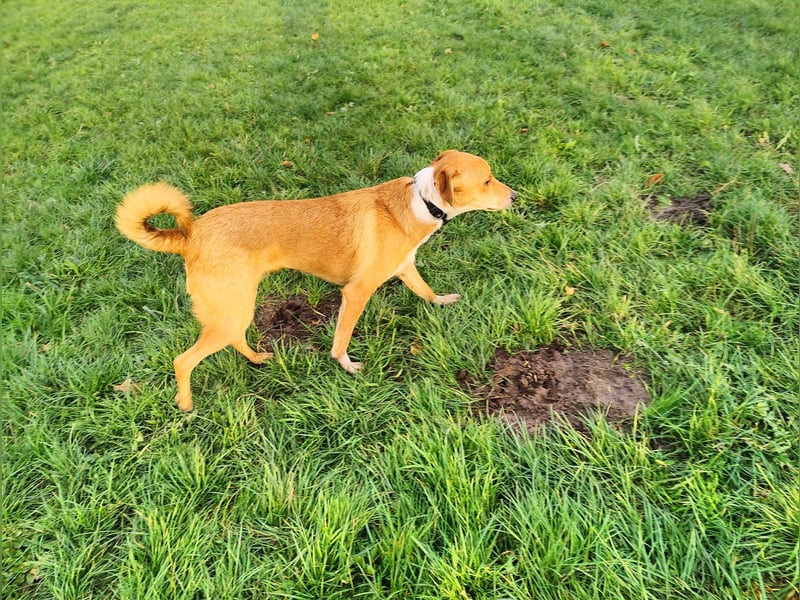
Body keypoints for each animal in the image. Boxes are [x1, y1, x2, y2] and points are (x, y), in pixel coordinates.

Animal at [116, 150, 516, 410]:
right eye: (486, 180)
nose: (514, 196)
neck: (422, 201)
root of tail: (190, 236)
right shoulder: (356, 292)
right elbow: (341, 340)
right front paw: (347, 366)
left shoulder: (405, 268)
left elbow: (426, 291)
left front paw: (442, 302)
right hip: (231, 310)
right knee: (183, 361)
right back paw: (185, 404)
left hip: (236, 309)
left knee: (234, 339)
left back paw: (258, 359)